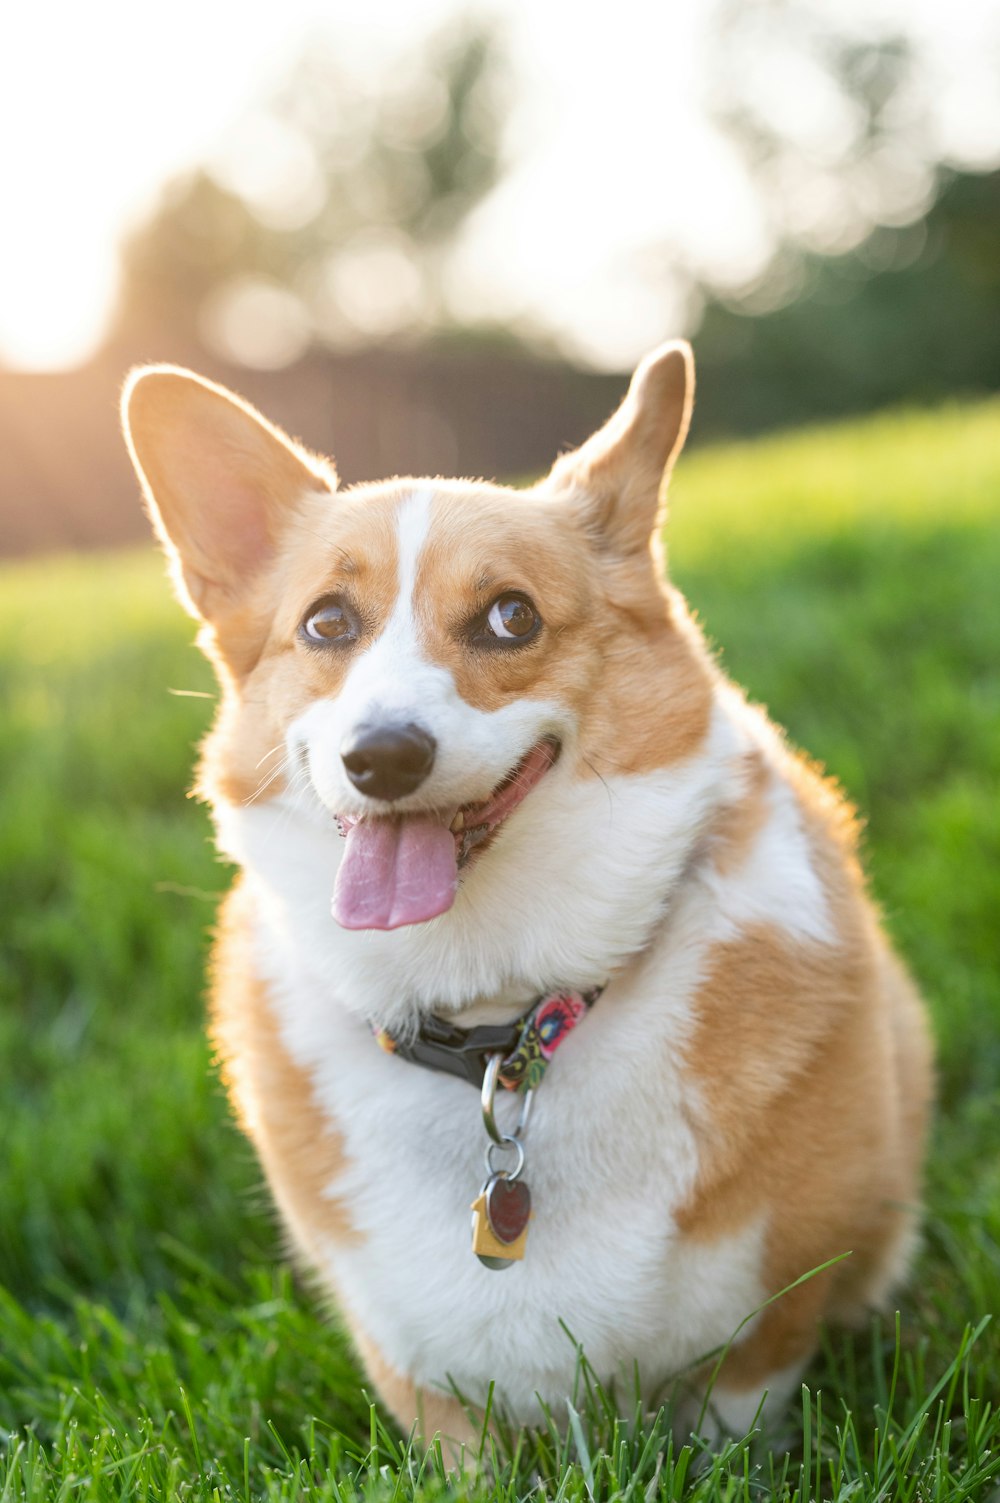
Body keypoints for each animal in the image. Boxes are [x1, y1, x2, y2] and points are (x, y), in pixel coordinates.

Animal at [121, 345, 932, 1448]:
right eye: (326, 623)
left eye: (512, 616)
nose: (381, 756)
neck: (495, 1021)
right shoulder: (422, 1374)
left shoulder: (769, 1326)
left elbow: (738, 1412)